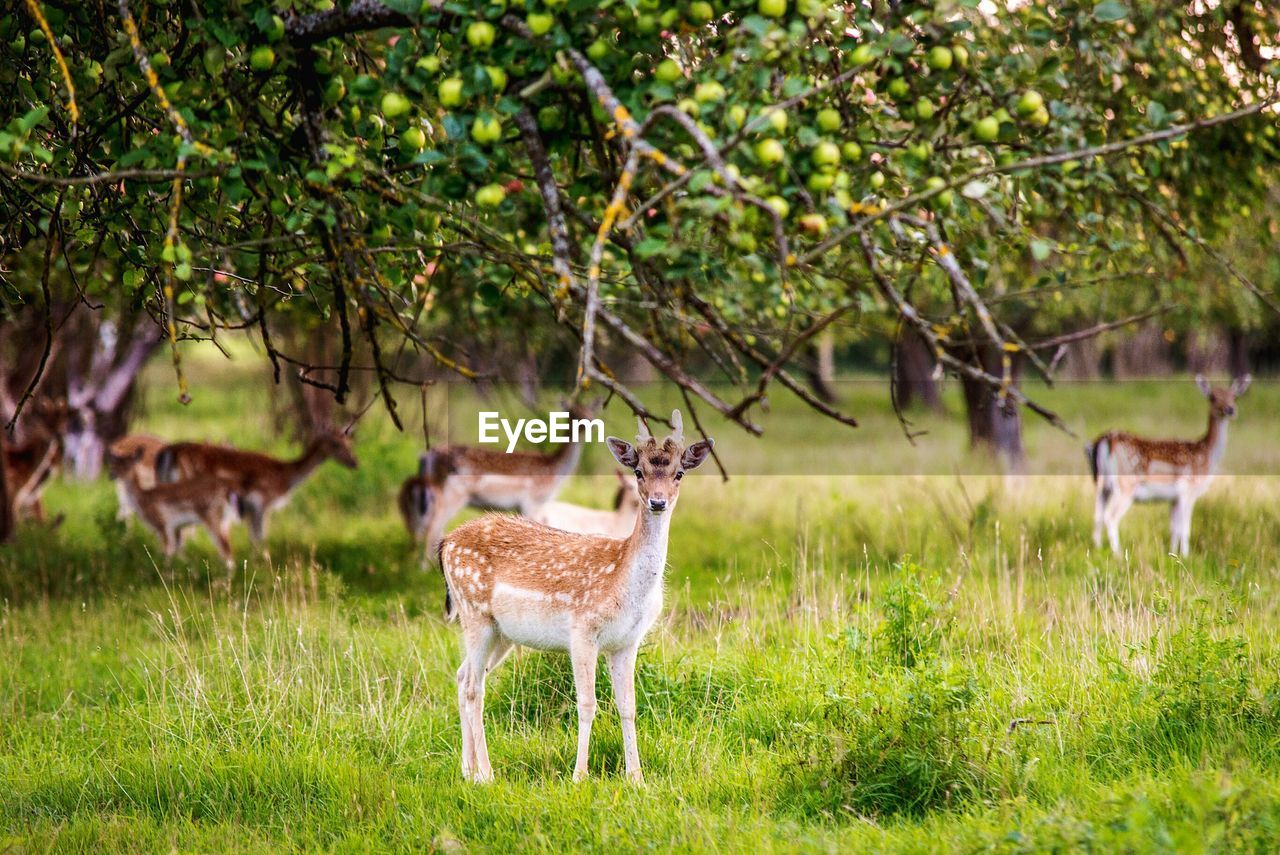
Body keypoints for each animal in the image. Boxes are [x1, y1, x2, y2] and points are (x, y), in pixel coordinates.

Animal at [107, 447, 241, 568]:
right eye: (114, 463)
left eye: (126, 465)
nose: (111, 475)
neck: (142, 499)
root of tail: (228, 491)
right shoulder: (175, 527)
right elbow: (177, 551)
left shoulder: (162, 524)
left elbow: (167, 552)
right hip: (225, 521)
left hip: (214, 518)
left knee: (227, 553)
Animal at [155, 430, 358, 545]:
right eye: (335, 444)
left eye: (350, 443)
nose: (355, 462)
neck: (284, 476)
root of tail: (168, 453)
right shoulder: (262, 502)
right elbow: (260, 538)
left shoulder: (251, 508)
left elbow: (254, 538)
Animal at [442, 409, 716, 783]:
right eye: (639, 471)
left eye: (679, 473)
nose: (657, 501)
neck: (624, 584)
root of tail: (445, 544)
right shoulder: (582, 630)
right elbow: (587, 703)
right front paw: (579, 776)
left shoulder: (627, 641)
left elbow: (628, 706)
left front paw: (636, 778)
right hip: (474, 612)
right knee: (473, 686)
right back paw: (486, 773)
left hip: (502, 633)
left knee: (462, 675)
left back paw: (467, 770)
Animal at [1085, 373, 1254, 555]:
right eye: (1212, 397)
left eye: (1234, 397)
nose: (1230, 409)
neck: (1206, 454)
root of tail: (1105, 440)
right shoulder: (1188, 490)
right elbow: (1184, 528)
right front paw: (1186, 555)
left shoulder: (1174, 498)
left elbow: (1174, 528)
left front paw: (1172, 554)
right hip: (1126, 485)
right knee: (1110, 516)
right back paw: (1118, 554)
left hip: (1103, 485)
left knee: (1097, 514)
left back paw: (1097, 548)